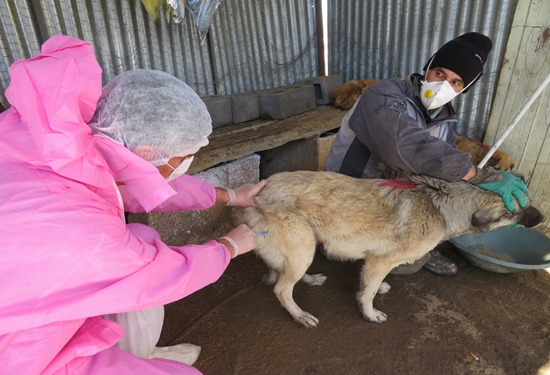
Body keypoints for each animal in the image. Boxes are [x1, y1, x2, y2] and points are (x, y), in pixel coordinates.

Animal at [239, 172, 544, 328]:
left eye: (527, 203)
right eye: (521, 209)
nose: (542, 218)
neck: (443, 207)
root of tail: (258, 192)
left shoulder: (377, 263)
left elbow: (371, 285)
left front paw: (378, 288)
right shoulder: (380, 260)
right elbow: (368, 293)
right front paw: (369, 313)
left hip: (305, 248)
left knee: (286, 274)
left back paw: (310, 279)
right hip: (303, 247)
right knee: (281, 289)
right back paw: (300, 315)